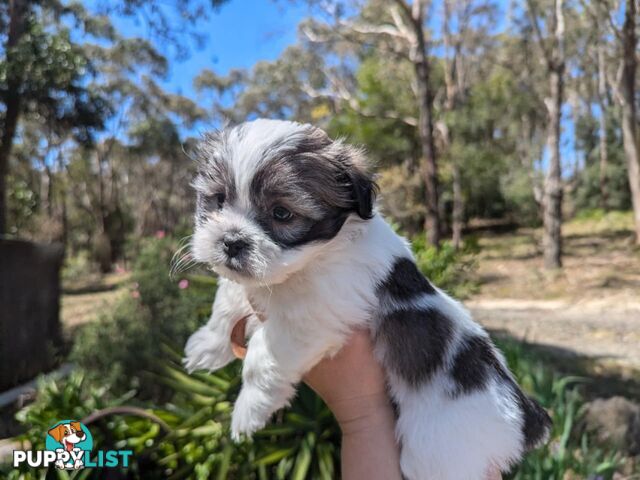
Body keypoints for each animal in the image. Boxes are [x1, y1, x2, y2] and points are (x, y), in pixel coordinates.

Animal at [184, 118, 552, 478]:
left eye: (282, 213)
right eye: (218, 200)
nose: (231, 241)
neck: (310, 261)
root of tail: (527, 416)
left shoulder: (312, 319)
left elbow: (262, 355)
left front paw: (248, 410)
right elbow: (226, 301)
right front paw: (207, 345)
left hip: (441, 458)